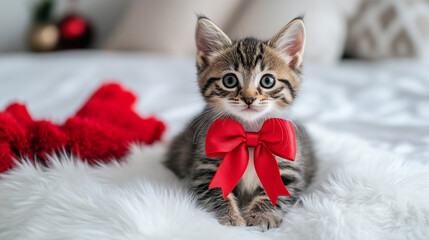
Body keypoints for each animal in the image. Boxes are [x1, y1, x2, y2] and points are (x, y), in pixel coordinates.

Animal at [164, 15, 314, 230]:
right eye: (229, 80)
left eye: (267, 81)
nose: (249, 99)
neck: (250, 134)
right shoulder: (205, 168)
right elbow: (216, 193)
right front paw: (230, 217)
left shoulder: (290, 169)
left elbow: (276, 194)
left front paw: (261, 216)